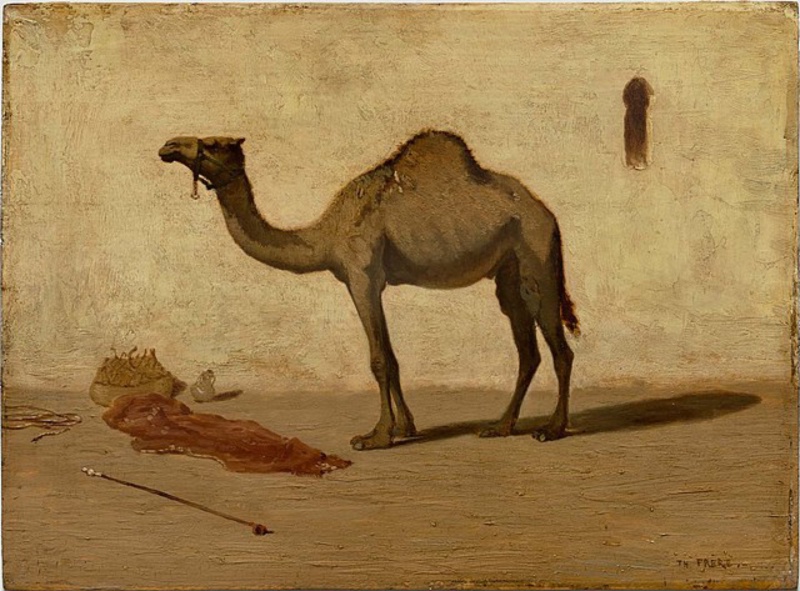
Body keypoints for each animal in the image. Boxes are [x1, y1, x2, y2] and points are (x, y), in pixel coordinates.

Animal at [159, 131, 579, 450]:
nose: (169, 146)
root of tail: (548, 214)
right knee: (527, 351)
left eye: (213, 143)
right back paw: (500, 427)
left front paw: (375, 436)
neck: (326, 234)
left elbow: (378, 360)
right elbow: (391, 358)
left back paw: (551, 429)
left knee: (561, 349)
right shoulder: (371, 282)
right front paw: (405, 428)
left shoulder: (361, 275)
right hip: (508, 271)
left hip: (536, 254)